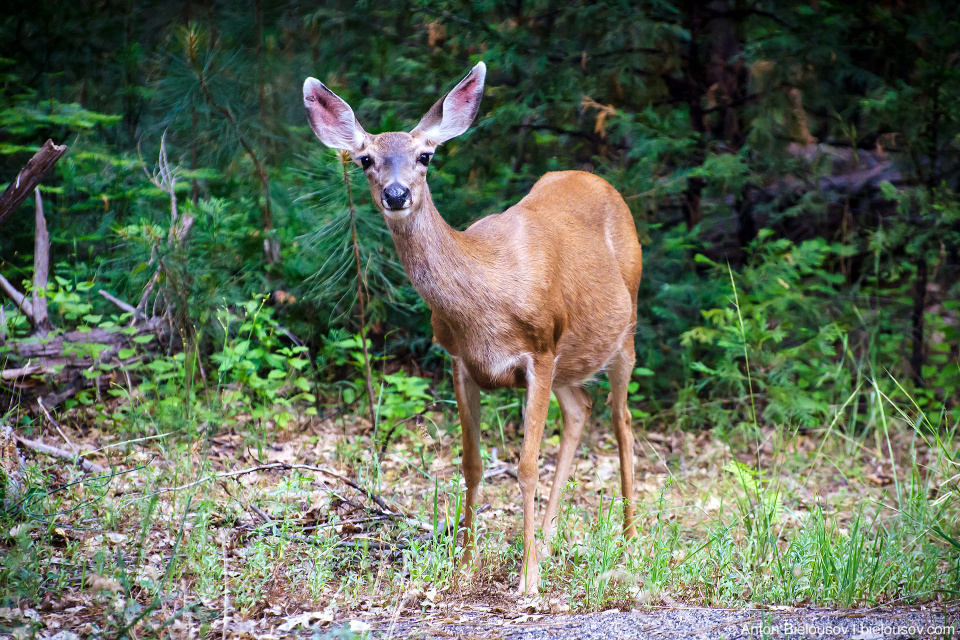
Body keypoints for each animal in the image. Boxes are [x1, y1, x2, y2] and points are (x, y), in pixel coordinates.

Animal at [304, 61, 640, 596]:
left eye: (425, 156)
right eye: (365, 159)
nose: (396, 194)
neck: (485, 297)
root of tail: (599, 180)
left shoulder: (539, 350)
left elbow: (526, 466)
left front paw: (527, 581)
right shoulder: (460, 360)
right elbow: (472, 463)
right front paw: (465, 564)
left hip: (624, 328)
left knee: (622, 421)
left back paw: (628, 541)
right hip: (571, 361)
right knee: (581, 408)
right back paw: (549, 541)